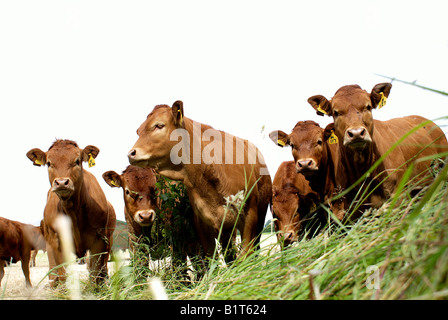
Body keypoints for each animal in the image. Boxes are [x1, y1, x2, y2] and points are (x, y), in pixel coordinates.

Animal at [26, 139, 116, 284]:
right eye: (49, 163)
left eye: (77, 161)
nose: (62, 182)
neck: (72, 211)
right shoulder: (56, 240)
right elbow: (62, 272)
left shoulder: (99, 239)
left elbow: (95, 273)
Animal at [128, 101, 272, 258]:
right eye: (138, 131)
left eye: (159, 125)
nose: (131, 153)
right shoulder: (201, 222)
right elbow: (210, 256)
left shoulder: (249, 217)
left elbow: (245, 255)